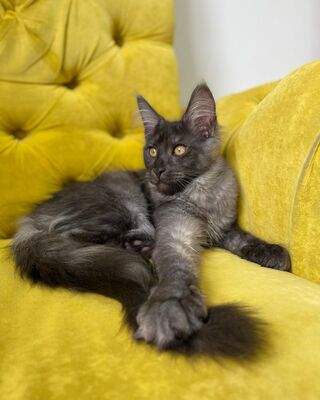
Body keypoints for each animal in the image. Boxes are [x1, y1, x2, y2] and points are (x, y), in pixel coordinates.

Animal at [10, 84, 290, 360]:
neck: (201, 191)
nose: (157, 171)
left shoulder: (224, 229)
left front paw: (271, 252)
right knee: (72, 238)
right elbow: (176, 265)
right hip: (122, 202)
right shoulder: (175, 229)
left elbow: (244, 238)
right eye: (152, 151)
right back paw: (137, 249)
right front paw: (169, 305)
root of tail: (30, 219)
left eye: (179, 149)